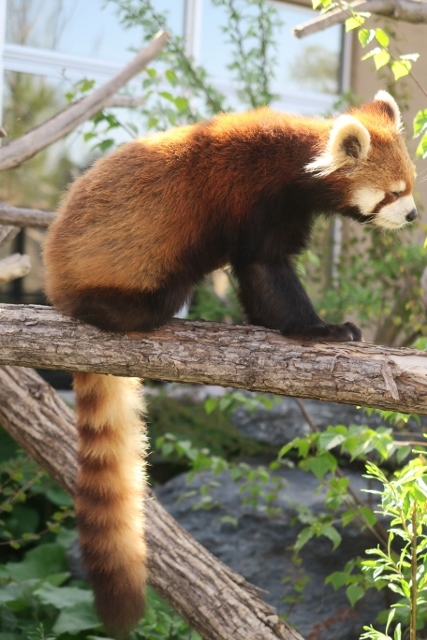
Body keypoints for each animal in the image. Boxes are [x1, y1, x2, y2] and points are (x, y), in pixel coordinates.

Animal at [42, 91, 418, 640]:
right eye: (393, 193)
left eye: (410, 186)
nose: (412, 216)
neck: (295, 161)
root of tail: (54, 276)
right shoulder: (253, 200)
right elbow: (266, 270)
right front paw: (320, 328)